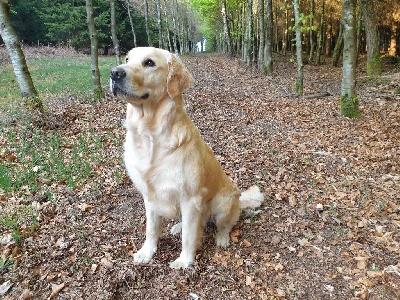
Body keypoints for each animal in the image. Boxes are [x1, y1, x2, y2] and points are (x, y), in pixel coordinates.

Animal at [111, 47, 264, 270]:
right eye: (127, 59)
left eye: (149, 63)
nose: (114, 73)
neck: (150, 133)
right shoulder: (150, 196)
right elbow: (151, 229)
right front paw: (147, 252)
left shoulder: (191, 199)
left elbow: (189, 237)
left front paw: (185, 261)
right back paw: (178, 226)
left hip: (223, 202)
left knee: (223, 224)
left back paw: (222, 238)